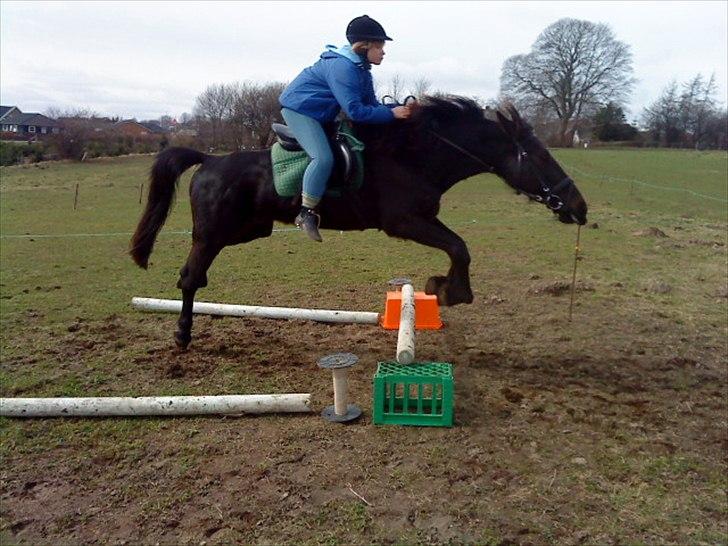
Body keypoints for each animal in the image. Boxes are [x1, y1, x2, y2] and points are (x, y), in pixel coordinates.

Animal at [129, 95, 584, 346]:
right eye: (539, 156)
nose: (579, 208)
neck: (413, 155)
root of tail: (209, 160)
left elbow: (458, 247)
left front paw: (443, 287)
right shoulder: (405, 222)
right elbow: (460, 246)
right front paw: (450, 290)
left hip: (246, 231)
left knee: (196, 276)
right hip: (212, 236)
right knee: (190, 278)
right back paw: (182, 335)